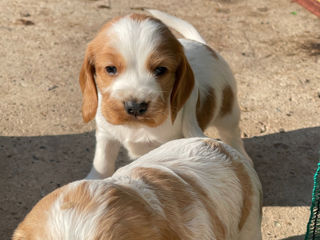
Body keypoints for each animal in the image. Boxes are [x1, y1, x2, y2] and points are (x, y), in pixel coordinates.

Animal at [79, 9, 249, 178]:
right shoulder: (106, 134)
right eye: (110, 69)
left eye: (161, 69)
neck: (137, 127)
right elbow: (102, 161)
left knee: (232, 135)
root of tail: (204, 45)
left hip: (228, 114)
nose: (135, 107)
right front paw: (95, 178)